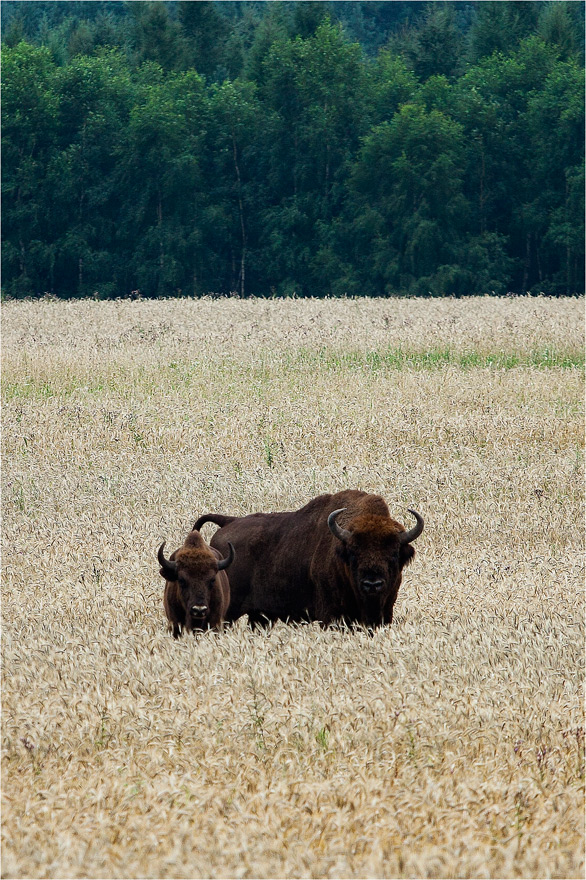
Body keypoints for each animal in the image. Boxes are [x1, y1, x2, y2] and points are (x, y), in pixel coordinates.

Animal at [194, 492, 422, 628]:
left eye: (394, 554)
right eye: (353, 553)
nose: (372, 584)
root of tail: (227, 523)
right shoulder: (331, 615)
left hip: (259, 616)